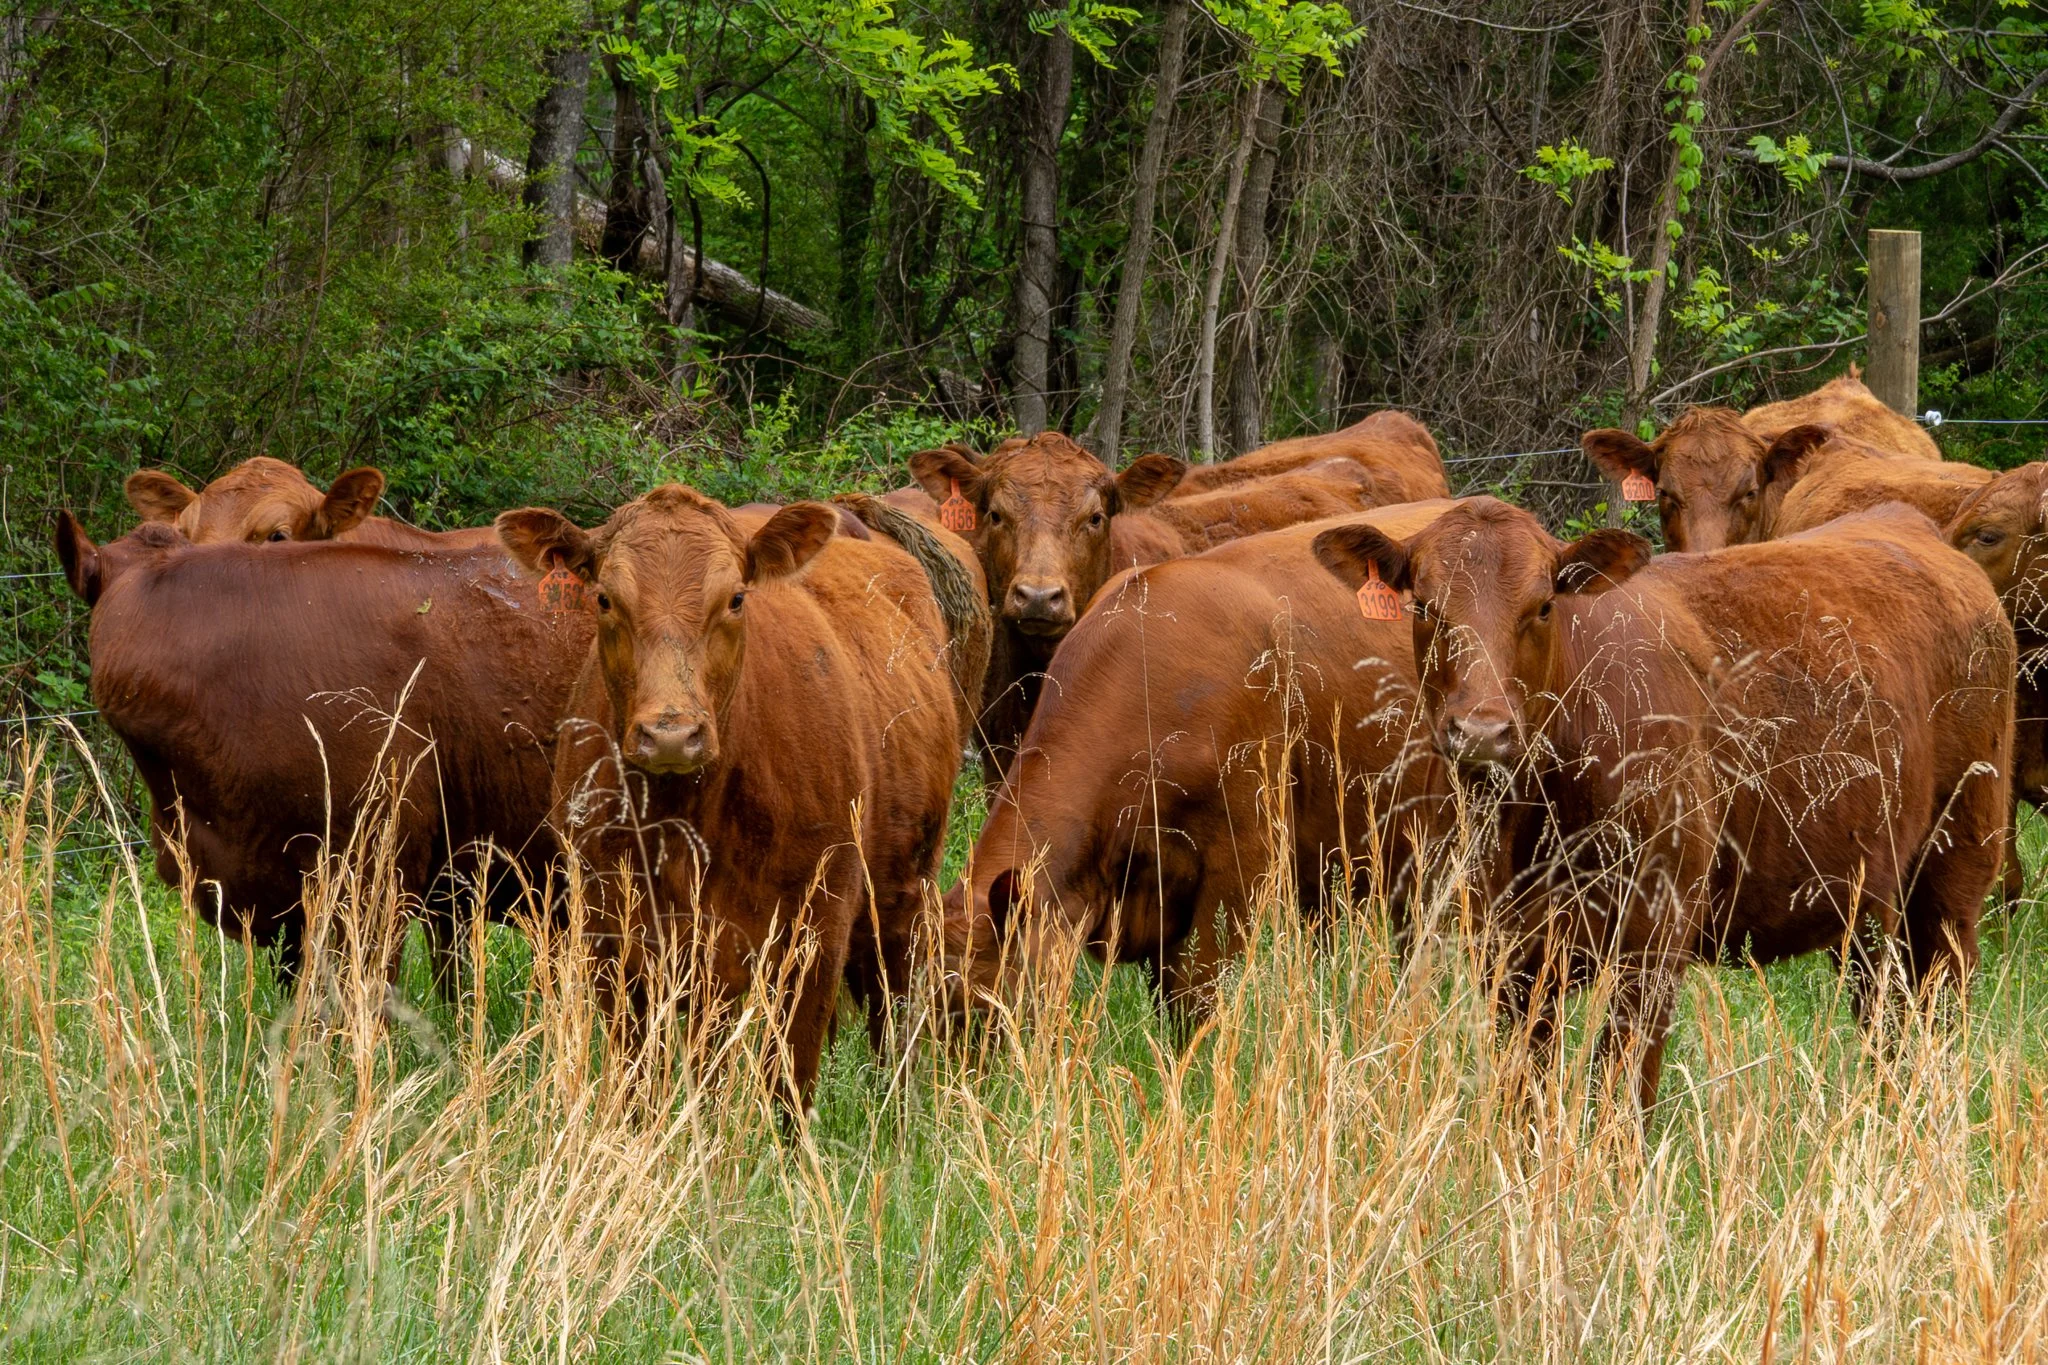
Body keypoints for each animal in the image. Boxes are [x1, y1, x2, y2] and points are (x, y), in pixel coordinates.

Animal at [493, 485, 963, 1108]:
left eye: (736, 598)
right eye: (604, 599)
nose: (671, 732)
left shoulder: (817, 930)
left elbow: (790, 1080)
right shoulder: (612, 936)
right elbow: (640, 1080)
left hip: (905, 896)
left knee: (895, 1013)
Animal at [1312, 497, 2012, 1109]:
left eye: (1544, 607)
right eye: (1425, 607)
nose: (1483, 731)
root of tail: (1911, 524)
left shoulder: (1653, 937)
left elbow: (1622, 1091)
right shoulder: (1505, 949)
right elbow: (1523, 1085)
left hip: (1956, 867)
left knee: (1940, 997)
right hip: (1869, 896)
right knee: (1884, 1007)